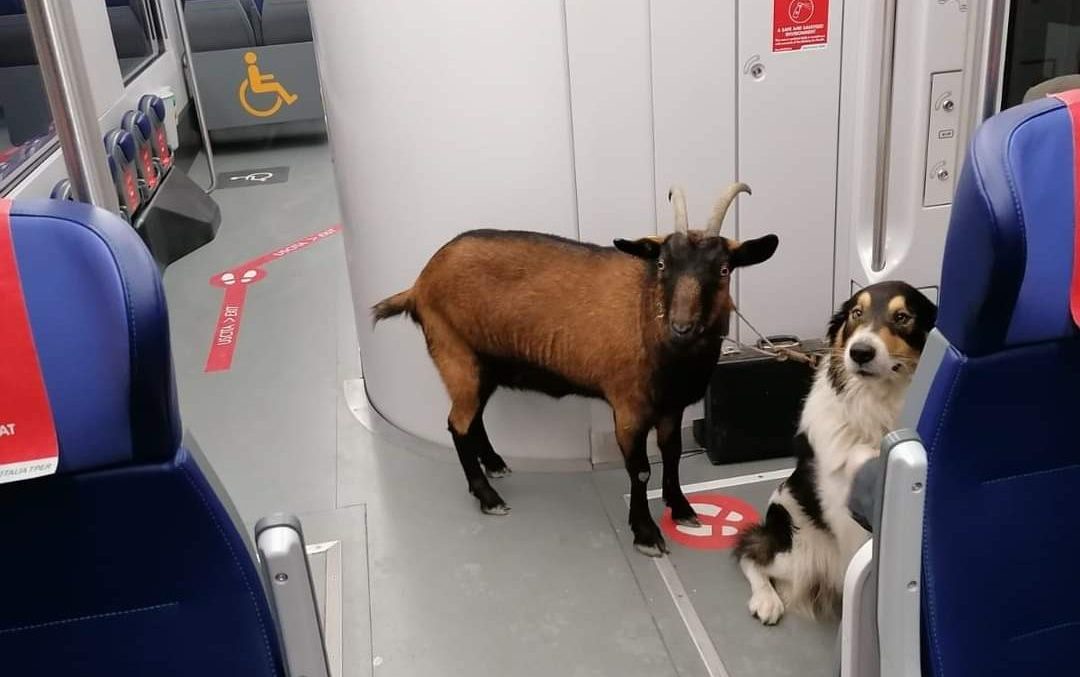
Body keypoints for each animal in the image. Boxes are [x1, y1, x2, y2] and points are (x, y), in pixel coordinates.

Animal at [372, 183, 779, 556]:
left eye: (723, 269)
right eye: (662, 264)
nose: (681, 326)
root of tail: (419, 285)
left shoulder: (671, 404)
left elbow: (673, 452)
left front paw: (681, 508)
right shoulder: (628, 406)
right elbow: (640, 469)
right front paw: (645, 533)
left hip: (482, 364)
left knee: (473, 418)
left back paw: (495, 464)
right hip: (454, 353)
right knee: (457, 424)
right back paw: (488, 497)